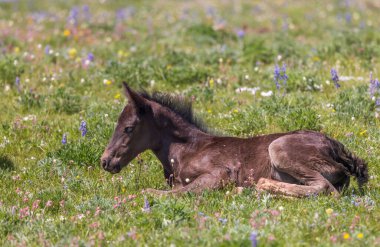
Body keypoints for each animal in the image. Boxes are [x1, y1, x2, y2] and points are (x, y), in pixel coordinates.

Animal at [101, 83, 368, 197]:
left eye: (128, 128)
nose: (105, 161)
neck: (184, 151)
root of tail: (338, 149)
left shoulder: (220, 174)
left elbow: (160, 192)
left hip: (279, 148)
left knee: (325, 188)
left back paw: (258, 186)